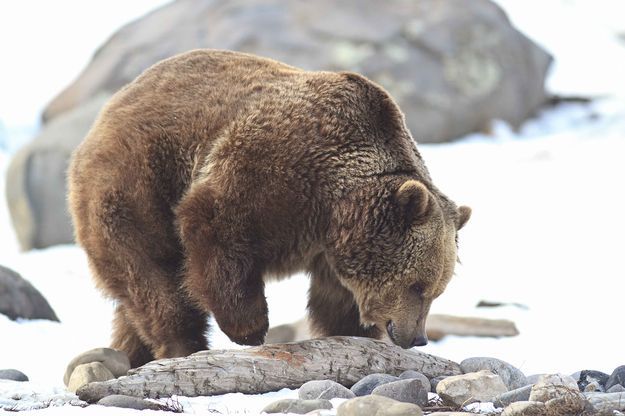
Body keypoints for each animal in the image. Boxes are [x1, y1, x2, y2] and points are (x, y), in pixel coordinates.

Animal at [67, 49, 468, 368]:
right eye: (418, 286)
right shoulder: (269, 173)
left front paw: (353, 333)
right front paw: (251, 329)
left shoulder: (329, 246)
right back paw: (184, 345)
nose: (417, 337)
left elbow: (336, 299)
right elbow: (215, 229)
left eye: (437, 290)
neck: (334, 204)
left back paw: (130, 354)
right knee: (154, 278)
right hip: (134, 188)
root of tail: (105, 114)